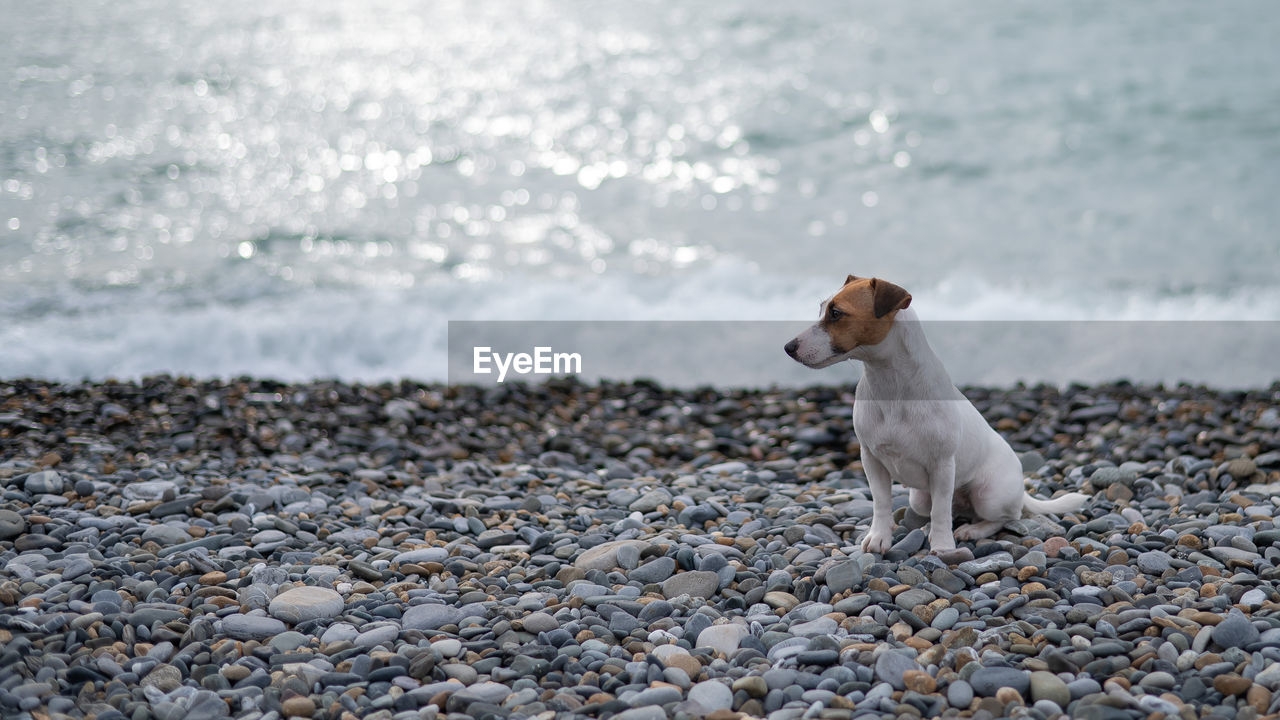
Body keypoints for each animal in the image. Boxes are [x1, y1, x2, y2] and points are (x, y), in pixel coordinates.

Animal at [783, 272, 1085, 548]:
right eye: (822, 309)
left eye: (836, 313)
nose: (788, 347)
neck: (891, 386)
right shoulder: (871, 460)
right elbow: (881, 503)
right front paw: (879, 537)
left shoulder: (941, 466)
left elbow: (941, 511)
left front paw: (942, 547)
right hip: (919, 498)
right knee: (948, 511)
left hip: (989, 495)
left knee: (1004, 517)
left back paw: (972, 530)